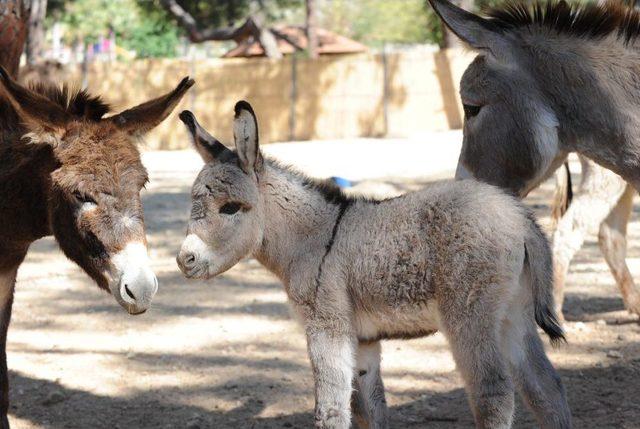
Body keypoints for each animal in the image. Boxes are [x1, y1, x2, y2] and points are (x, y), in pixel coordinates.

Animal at [175, 103, 568, 428]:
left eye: (230, 208)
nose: (184, 260)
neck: (314, 238)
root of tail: (519, 216)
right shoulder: (363, 339)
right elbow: (369, 409)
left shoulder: (327, 328)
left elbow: (331, 411)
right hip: (513, 315)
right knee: (545, 388)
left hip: (471, 318)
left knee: (494, 395)